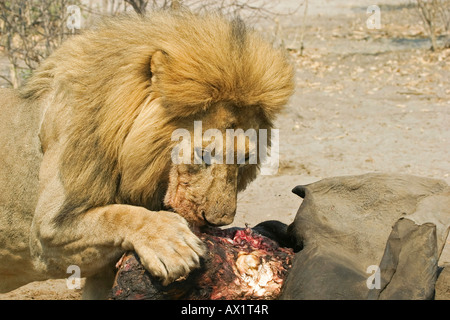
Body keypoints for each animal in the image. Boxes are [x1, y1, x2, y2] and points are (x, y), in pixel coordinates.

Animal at [0, 10, 294, 300]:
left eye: (245, 159)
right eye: (203, 155)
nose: (217, 222)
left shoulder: (102, 274)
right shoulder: (46, 233)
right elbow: (116, 215)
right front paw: (171, 242)